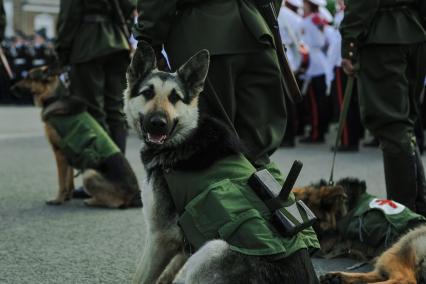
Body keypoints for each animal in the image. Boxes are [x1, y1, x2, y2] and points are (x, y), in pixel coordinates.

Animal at [12, 66, 142, 209]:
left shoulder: (59, 153)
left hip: (89, 174)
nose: (11, 88)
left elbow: (61, 181)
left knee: (116, 203)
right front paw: (67, 197)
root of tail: (135, 194)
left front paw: (58, 200)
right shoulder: (66, 155)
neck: (55, 97)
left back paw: (92, 200)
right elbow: (68, 180)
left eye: (29, 77)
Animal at [125, 43, 318, 282]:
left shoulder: (161, 237)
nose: (158, 123)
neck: (184, 138)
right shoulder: (183, 242)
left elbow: (141, 277)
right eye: (147, 93)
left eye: (175, 97)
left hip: (212, 249)